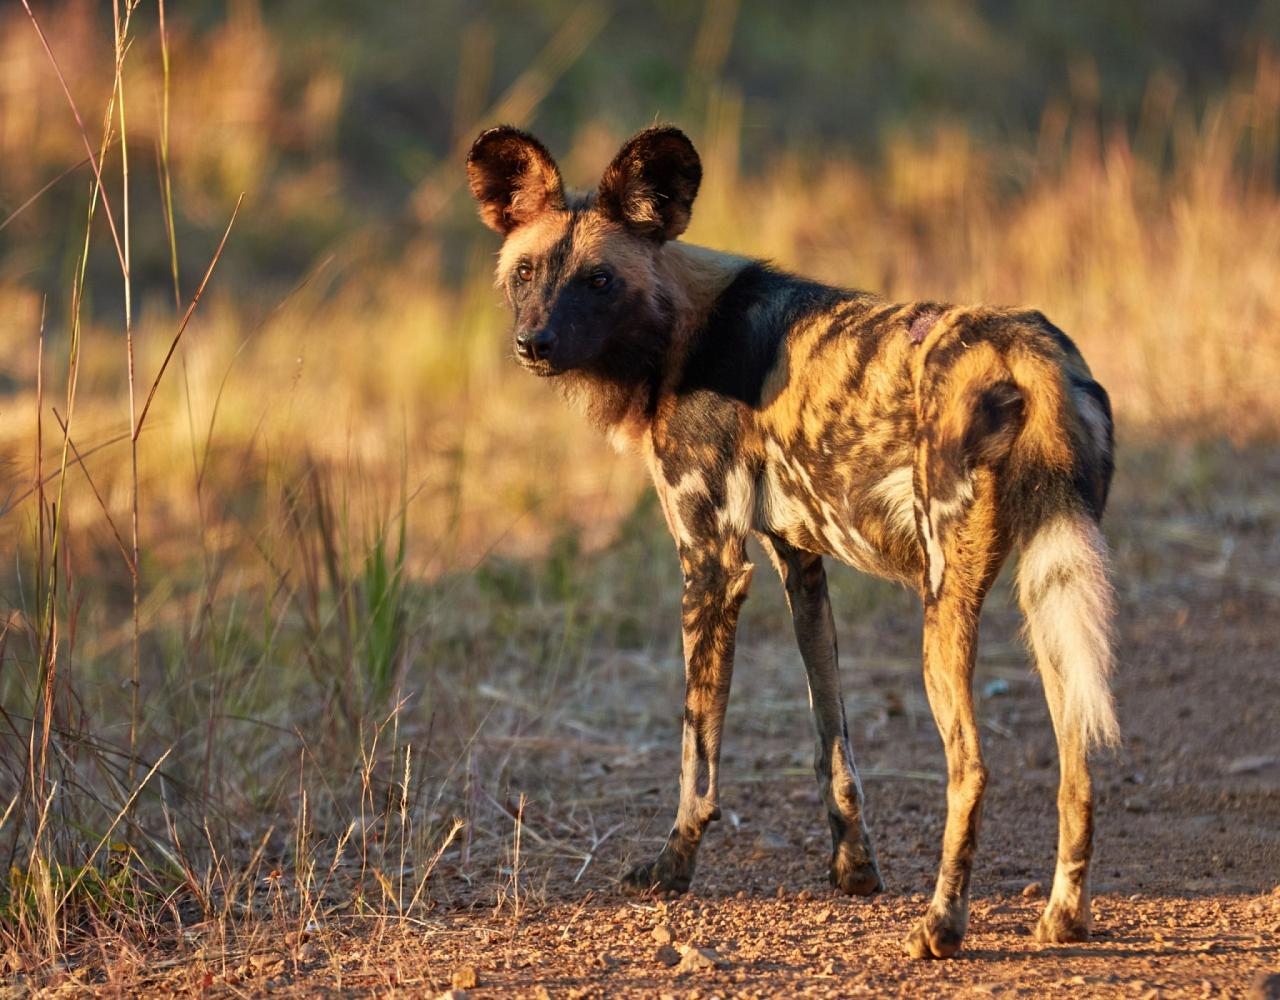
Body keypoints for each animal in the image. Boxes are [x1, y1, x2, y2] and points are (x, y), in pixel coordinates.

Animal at [468, 126, 1121, 957]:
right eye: (526, 272)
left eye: (599, 280)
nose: (536, 342)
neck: (682, 331)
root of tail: (1027, 352)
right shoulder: (800, 563)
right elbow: (831, 737)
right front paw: (854, 868)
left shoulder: (712, 565)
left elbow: (697, 755)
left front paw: (671, 867)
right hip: (1048, 589)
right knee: (1080, 755)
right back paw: (1063, 918)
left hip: (945, 605)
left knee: (971, 768)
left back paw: (941, 924)